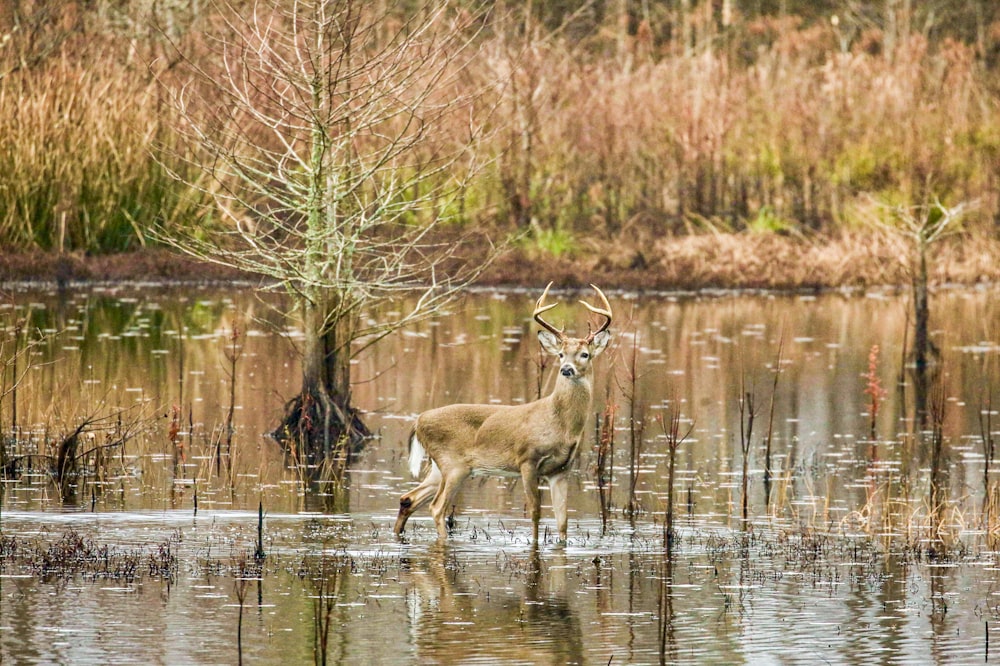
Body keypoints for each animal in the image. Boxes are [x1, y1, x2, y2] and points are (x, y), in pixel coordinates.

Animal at [394, 280, 612, 540]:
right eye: (560, 354)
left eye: (585, 354)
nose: (566, 369)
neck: (558, 423)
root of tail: (418, 421)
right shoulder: (527, 459)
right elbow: (535, 513)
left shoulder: (561, 470)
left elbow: (563, 522)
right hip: (453, 464)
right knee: (437, 508)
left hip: (440, 467)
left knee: (408, 498)